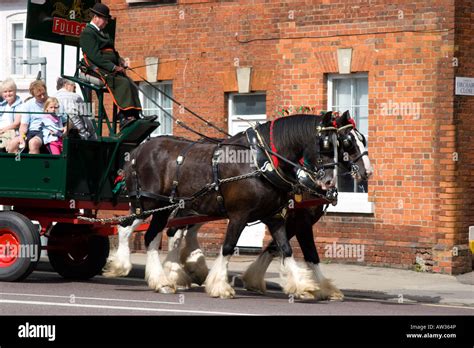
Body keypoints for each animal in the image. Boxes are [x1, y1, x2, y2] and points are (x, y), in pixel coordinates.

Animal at [105, 113, 338, 298]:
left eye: (340, 145)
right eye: (326, 144)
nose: (329, 182)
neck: (261, 160)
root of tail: (137, 151)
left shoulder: (275, 217)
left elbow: (285, 249)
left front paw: (304, 285)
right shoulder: (239, 215)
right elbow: (227, 247)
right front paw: (219, 286)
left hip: (164, 208)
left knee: (152, 237)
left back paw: (161, 281)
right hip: (147, 203)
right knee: (126, 228)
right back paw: (124, 266)